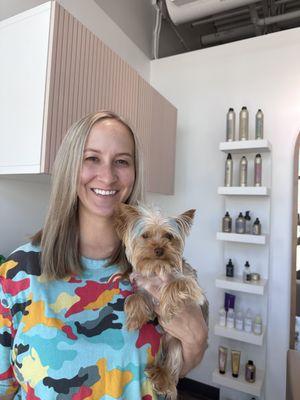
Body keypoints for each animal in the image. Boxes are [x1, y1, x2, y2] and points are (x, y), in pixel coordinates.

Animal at [113, 205, 205, 398]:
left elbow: (174, 285)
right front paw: (134, 319)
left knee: (173, 364)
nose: (159, 250)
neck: (156, 268)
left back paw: (163, 380)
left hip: (176, 343)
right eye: (145, 235)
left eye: (168, 236)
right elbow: (135, 297)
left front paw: (168, 308)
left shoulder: (189, 283)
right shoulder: (143, 287)